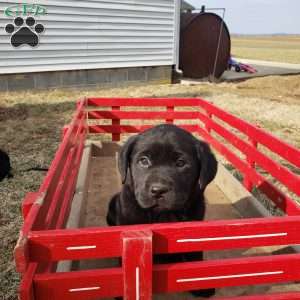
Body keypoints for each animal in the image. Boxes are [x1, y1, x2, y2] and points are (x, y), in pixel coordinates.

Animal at [106, 124, 217, 298]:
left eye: (181, 163)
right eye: (144, 161)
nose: (158, 190)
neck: (163, 215)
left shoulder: (194, 230)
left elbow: (195, 256)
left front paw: (201, 286)